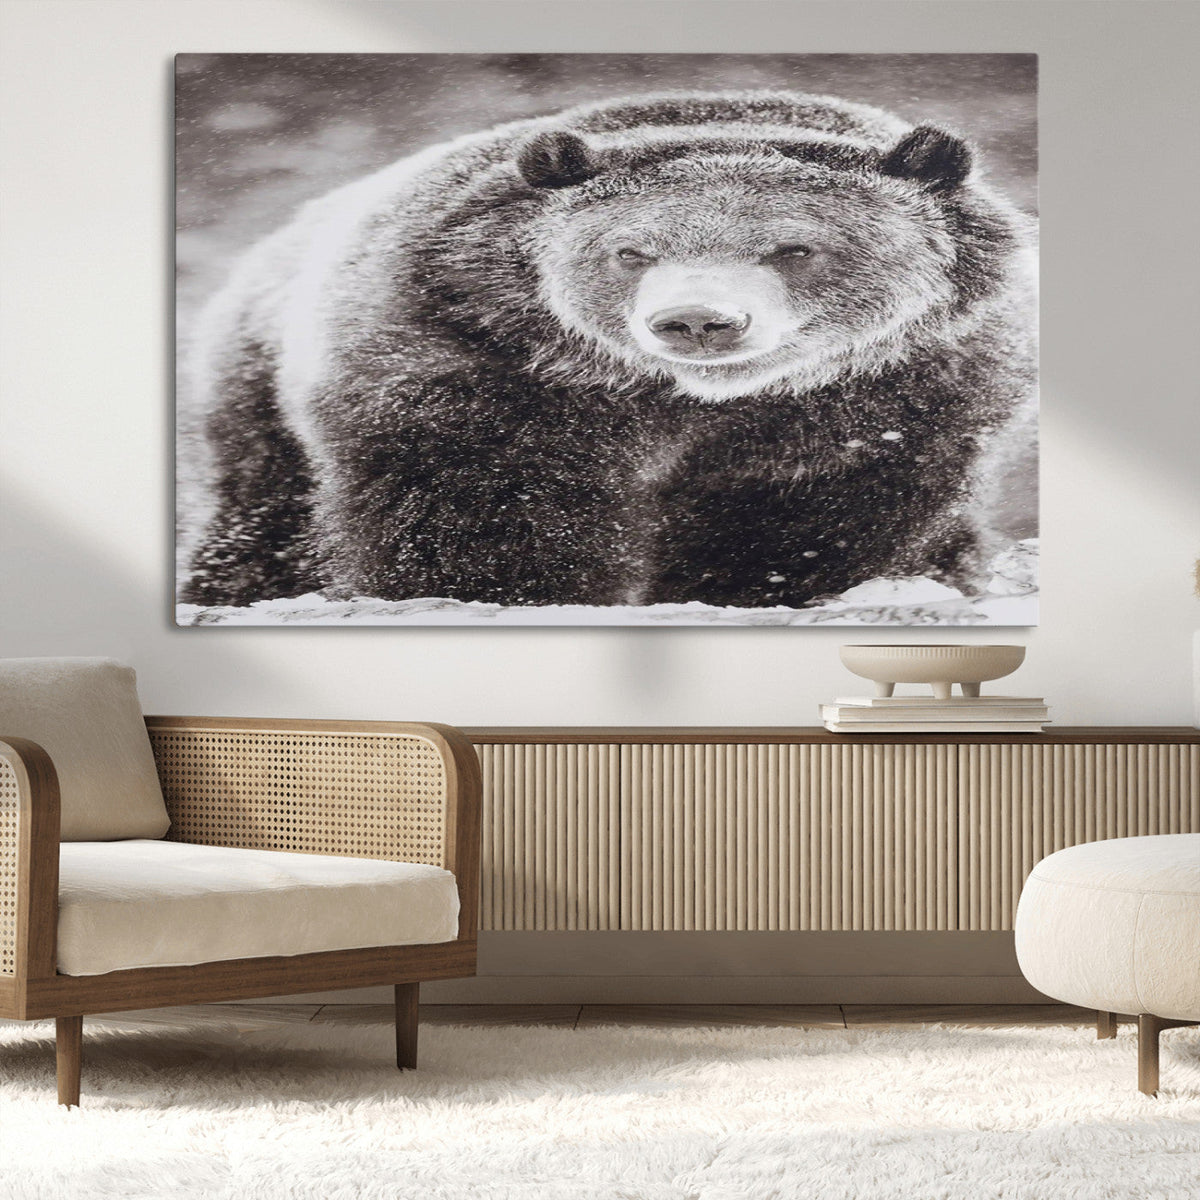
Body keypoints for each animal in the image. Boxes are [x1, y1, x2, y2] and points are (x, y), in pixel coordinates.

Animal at [180, 90, 1037, 611]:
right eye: (632, 251)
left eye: (794, 248)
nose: (698, 321)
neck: (684, 403)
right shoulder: (470, 354)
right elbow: (481, 501)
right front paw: (510, 586)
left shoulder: (899, 390)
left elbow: (813, 512)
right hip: (255, 395)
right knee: (263, 516)